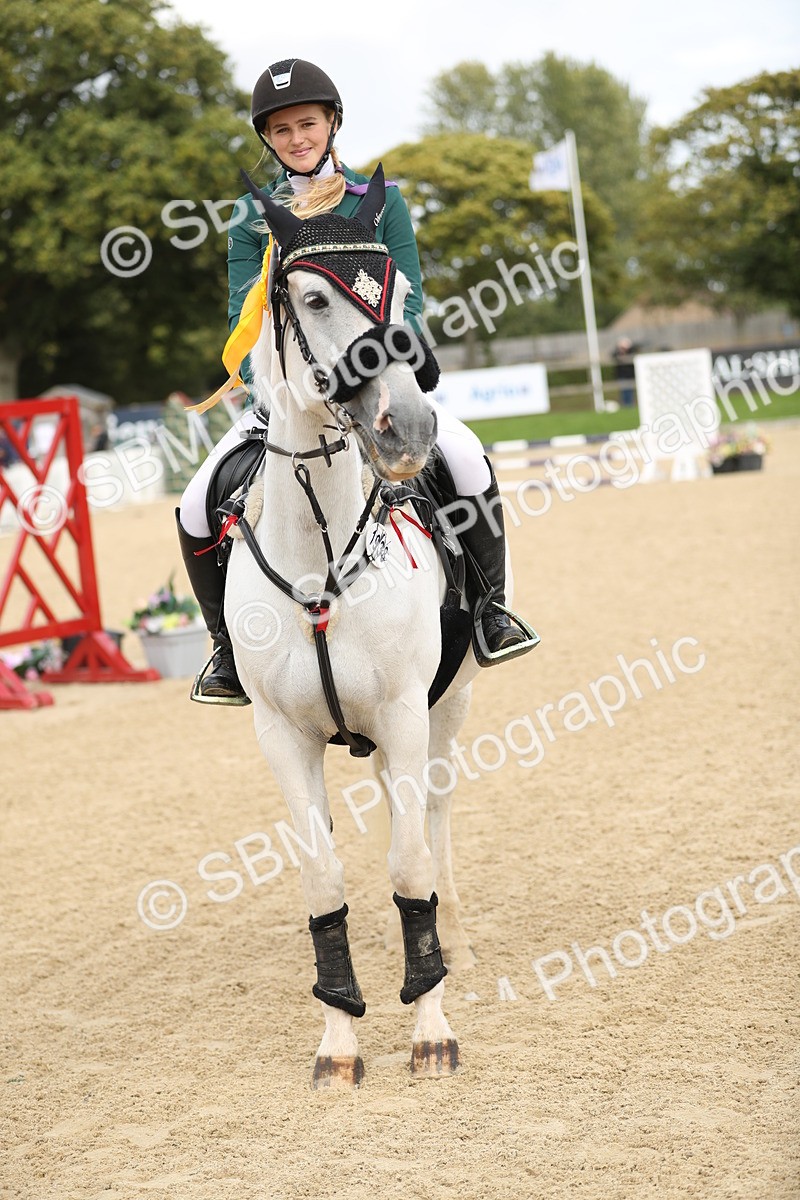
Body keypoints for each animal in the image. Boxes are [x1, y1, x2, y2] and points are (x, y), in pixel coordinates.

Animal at [224, 166, 486, 1089]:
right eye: (310, 296)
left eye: (400, 294)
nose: (406, 429)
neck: (322, 565)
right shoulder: (281, 735)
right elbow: (322, 880)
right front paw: (338, 1038)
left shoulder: (407, 709)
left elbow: (408, 864)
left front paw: (430, 1028)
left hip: (448, 703)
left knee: (433, 819)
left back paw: (455, 947)